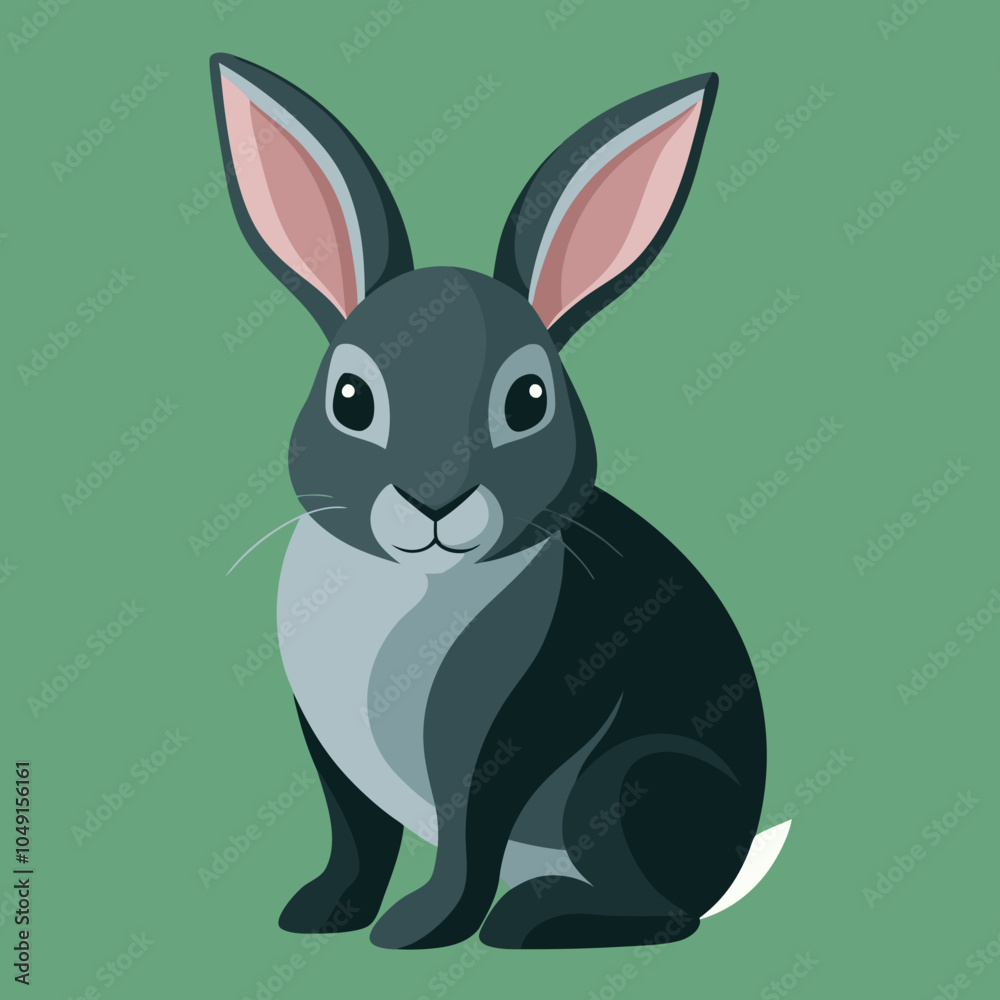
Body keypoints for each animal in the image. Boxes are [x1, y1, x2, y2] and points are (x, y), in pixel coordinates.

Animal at [209, 53, 788, 951]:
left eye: (528, 400)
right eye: (350, 399)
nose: (434, 499)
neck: (413, 583)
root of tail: (728, 871)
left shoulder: (502, 742)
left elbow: (467, 838)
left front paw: (417, 931)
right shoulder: (331, 753)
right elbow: (357, 837)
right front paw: (321, 914)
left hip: (625, 782)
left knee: (663, 914)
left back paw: (532, 920)